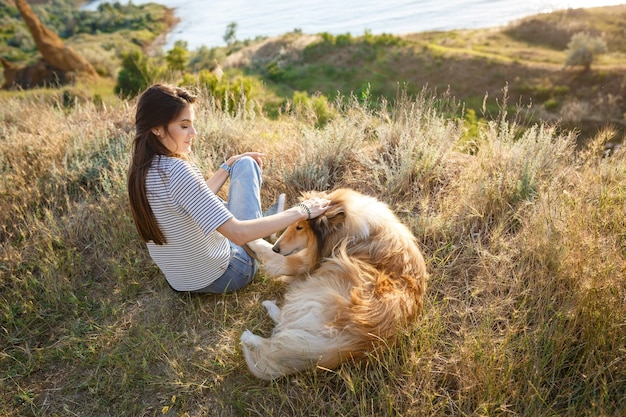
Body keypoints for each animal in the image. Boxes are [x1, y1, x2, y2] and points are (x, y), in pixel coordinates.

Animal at [241, 188, 426, 380]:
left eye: (300, 227)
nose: (276, 248)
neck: (346, 227)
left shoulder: (301, 263)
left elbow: (265, 248)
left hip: (322, 284)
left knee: (285, 325)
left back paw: (250, 335)